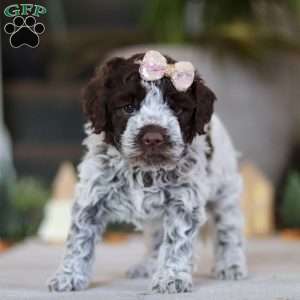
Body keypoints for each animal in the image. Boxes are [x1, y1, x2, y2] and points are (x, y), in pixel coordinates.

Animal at [48, 51, 247, 292]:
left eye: (177, 109)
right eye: (128, 107)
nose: (153, 137)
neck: (144, 170)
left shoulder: (183, 201)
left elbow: (176, 242)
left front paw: (171, 278)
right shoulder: (91, 199)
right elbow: (79, 239)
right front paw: (68, 276)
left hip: (224, 192)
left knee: (229, 229)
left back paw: (231, 265)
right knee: (156, 238)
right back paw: (148, 266)